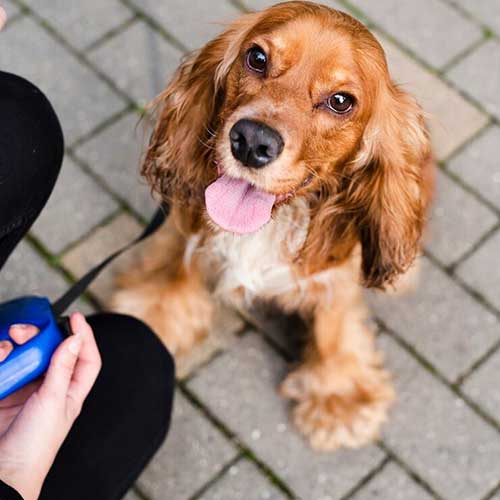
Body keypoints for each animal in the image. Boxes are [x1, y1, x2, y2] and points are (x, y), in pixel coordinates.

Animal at [111, 1, 435, 451]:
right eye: (257, 58)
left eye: (341, 101)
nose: (251, 141)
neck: (271, 222)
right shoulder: (189, 228)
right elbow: (180, 264)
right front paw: (158, 311)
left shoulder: (337, 269)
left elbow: (335, 318)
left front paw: (338, 393)